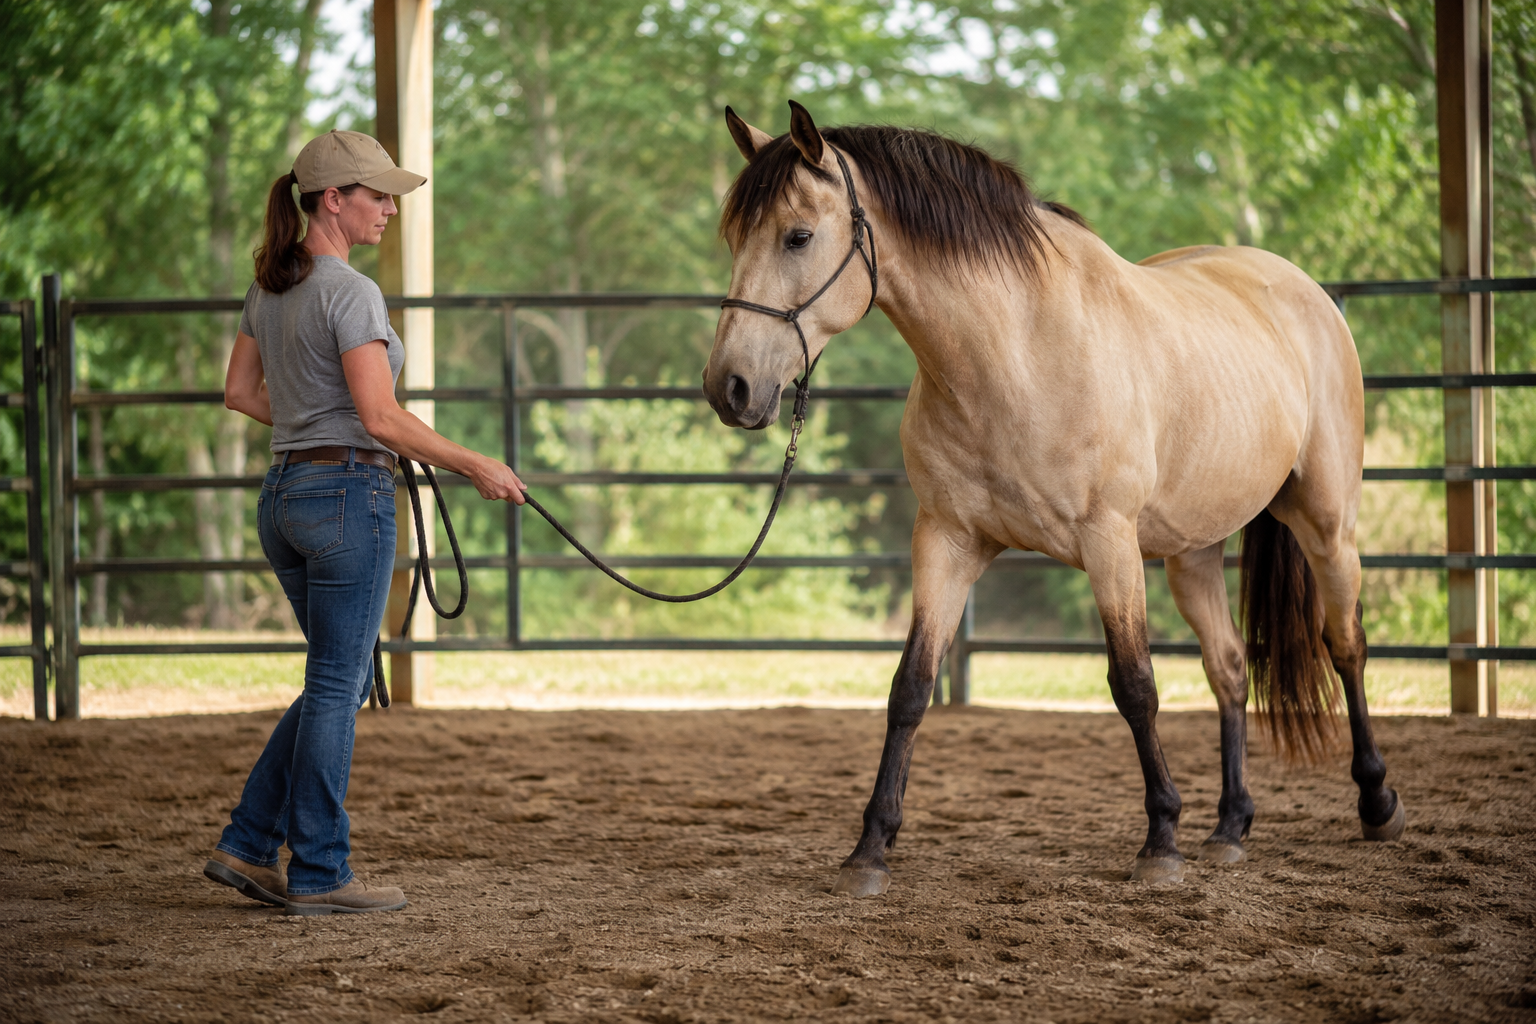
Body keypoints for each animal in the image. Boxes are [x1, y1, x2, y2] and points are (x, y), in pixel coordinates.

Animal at [703, 101, 1405, 896]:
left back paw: (1376, 801)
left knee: (1344, 645)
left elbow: (1134, 685)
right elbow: (910, 688)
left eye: (798, 236)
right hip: (1193, 552)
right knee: (1229, 668)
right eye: (734, 237)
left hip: (1327, 526)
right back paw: (1231, 826)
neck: (1015, 355)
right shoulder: (945, 542)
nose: (729, 388)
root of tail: (1305, 292)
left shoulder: (1109, 543)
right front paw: (870, 849)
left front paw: (1161, 841)